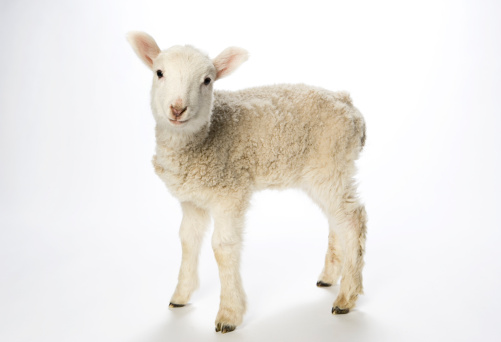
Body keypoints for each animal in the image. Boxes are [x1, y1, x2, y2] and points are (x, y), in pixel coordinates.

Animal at [127, 30, 366, 332]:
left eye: (208, 80)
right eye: (159, 73)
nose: (177, 109)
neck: (203, 139)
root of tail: (349, 104)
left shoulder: (230, 191)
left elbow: (222, 247)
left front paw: (229, 314)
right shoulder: (192, 199)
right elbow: (188, 240)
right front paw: (180, 296)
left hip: (331, 163)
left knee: (352, 219)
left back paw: (346, 297)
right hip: (325, 172)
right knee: (337, 219)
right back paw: (329, 277)